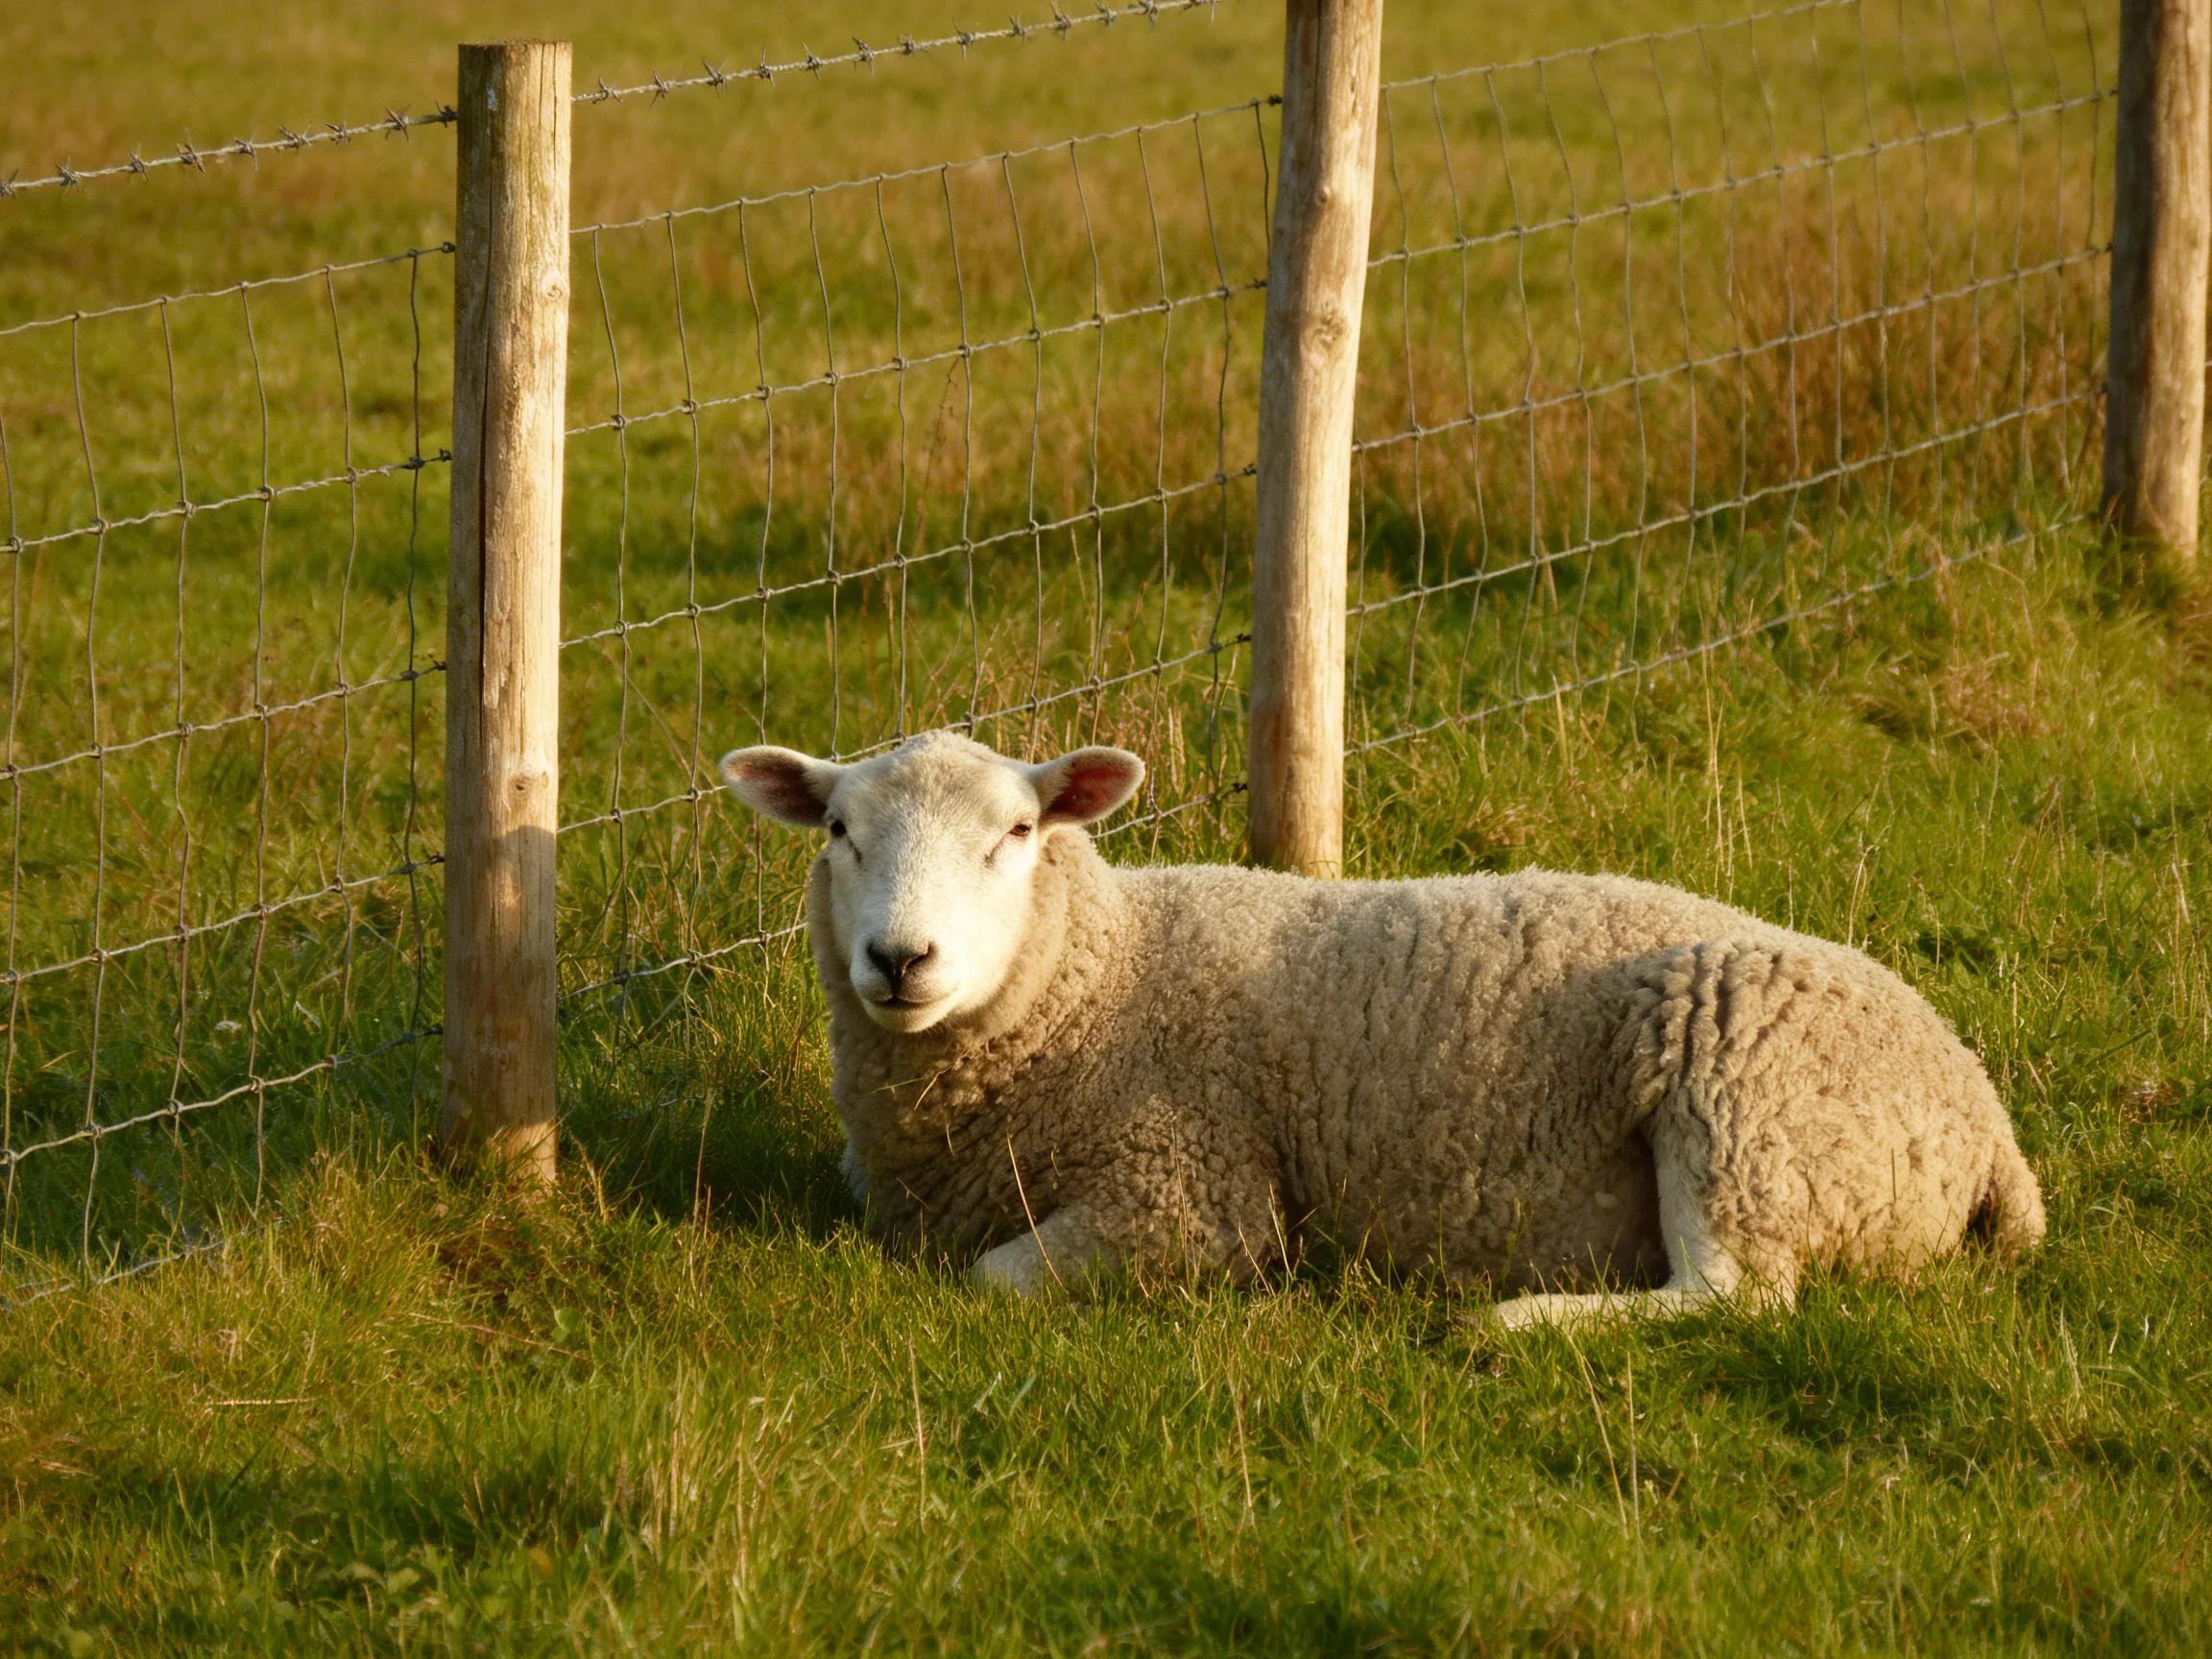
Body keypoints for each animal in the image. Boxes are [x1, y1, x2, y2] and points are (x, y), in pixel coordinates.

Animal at [717, 729, 2044, 1326]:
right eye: (837, 832)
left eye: (1017, 834)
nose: (901, 959)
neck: (1099, 984)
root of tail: (1986, 1125)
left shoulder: (1192, 1200)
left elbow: (989, 1279)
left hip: (1747, 1116)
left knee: (1735, 1296)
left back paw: (1511, 1324)